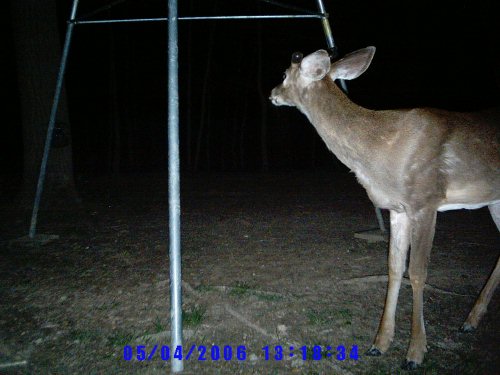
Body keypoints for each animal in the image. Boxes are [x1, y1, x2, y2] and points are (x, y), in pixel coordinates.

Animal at [272, 47, 498, 370]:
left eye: (283, 74)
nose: (272, 94)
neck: (380, 150)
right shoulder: (398, 209)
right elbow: (394, 267)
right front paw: (379, 343)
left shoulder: (426, 200)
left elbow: (417, 272)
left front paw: (415, 352)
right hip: (494, 199)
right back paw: (471, 320)